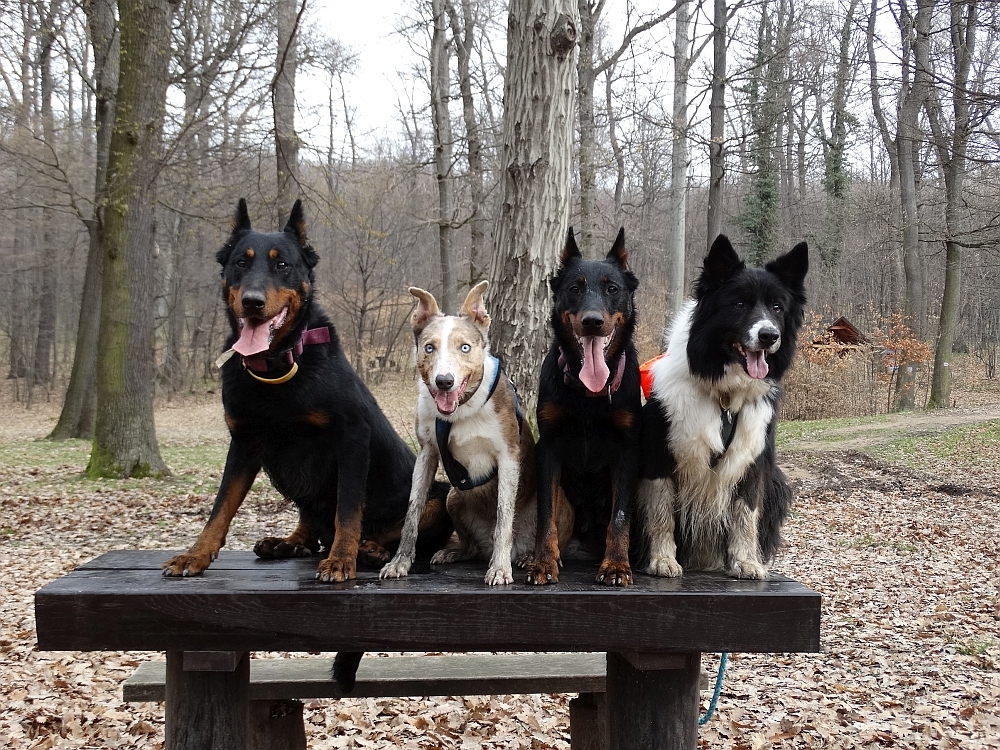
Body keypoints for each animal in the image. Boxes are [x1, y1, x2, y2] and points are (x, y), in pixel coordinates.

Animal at [380, 282, 576, 588]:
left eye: (465, 347)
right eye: (428, 347)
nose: (444, 381)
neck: (460, 412)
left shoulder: (508, 457)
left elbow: (504, 518)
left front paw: (500, 568)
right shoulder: (426, 454)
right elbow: (412, 512)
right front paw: (400, 561)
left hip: (556, 504)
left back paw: (527, 557)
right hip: (453, 497)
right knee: (471, 545)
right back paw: (456, 552)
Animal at [528, 228, 644, 588]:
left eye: (612, 288)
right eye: (574, 288)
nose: (592, 322)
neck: (587, 393)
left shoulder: (627, 451)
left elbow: (619, 516)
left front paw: (617, 565)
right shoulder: (548, 448)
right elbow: (546, 514)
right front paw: (543, 561)